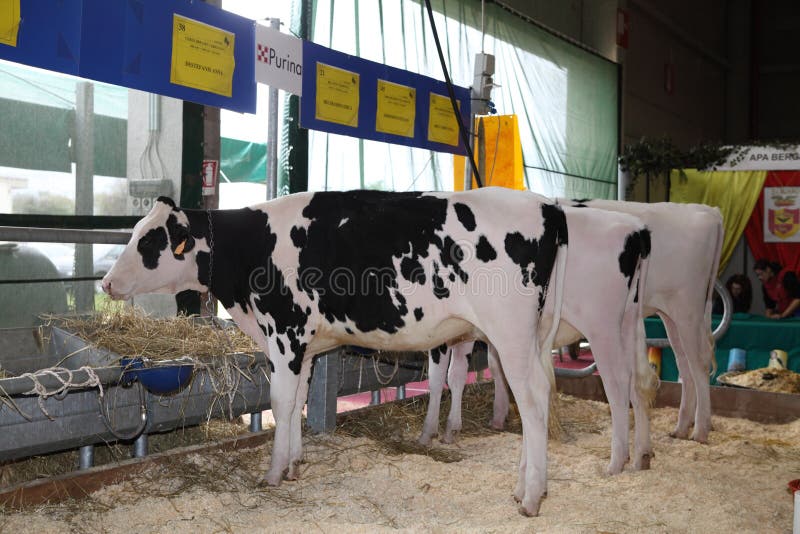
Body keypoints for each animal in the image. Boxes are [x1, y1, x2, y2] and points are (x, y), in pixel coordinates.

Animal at [101, 188, 568, 520]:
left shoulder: (284, 334)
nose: (105, 283)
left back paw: (531, 496)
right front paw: (294, 463)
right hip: (533, 336)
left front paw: (273, 472)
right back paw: (523, 487)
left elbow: (280, 402)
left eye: (148, 241)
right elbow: (297, 404)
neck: (251, 248)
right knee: (540, 396)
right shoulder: (306, 345)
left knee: (532, 402)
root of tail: (546, 206)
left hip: (511, 335)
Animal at [418, 206, 656, 478]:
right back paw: (642, 455)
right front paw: (455, 428)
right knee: (639, 382)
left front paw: (428, 432)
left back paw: (615, 463)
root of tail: (636, 227)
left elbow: (437, 379)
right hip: (630, 323)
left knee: (617, 384)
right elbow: (460, 375)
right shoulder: (465, 332)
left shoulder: (442, 334)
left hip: (602, 327)